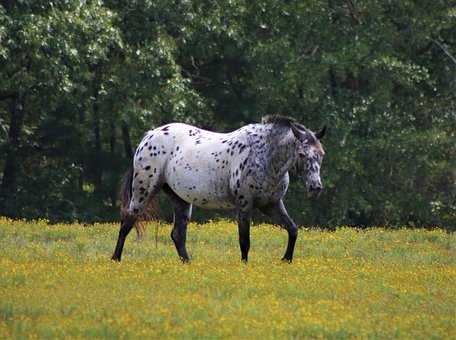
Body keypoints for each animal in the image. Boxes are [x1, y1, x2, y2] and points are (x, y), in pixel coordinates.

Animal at [113, 115, 328, 262]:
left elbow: (292, 229)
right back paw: (116, 259)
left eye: (321, 154)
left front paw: (286, 260)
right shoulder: (245, 205)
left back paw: (187, 263)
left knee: (177, 235)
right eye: (302, 154)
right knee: (127, 222)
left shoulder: (271, 204)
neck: (265, 155)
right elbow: (244, 240)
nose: (315, 187)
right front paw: (244, 266)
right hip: (144, 190)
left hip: (180, 199)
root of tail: (148, 136)